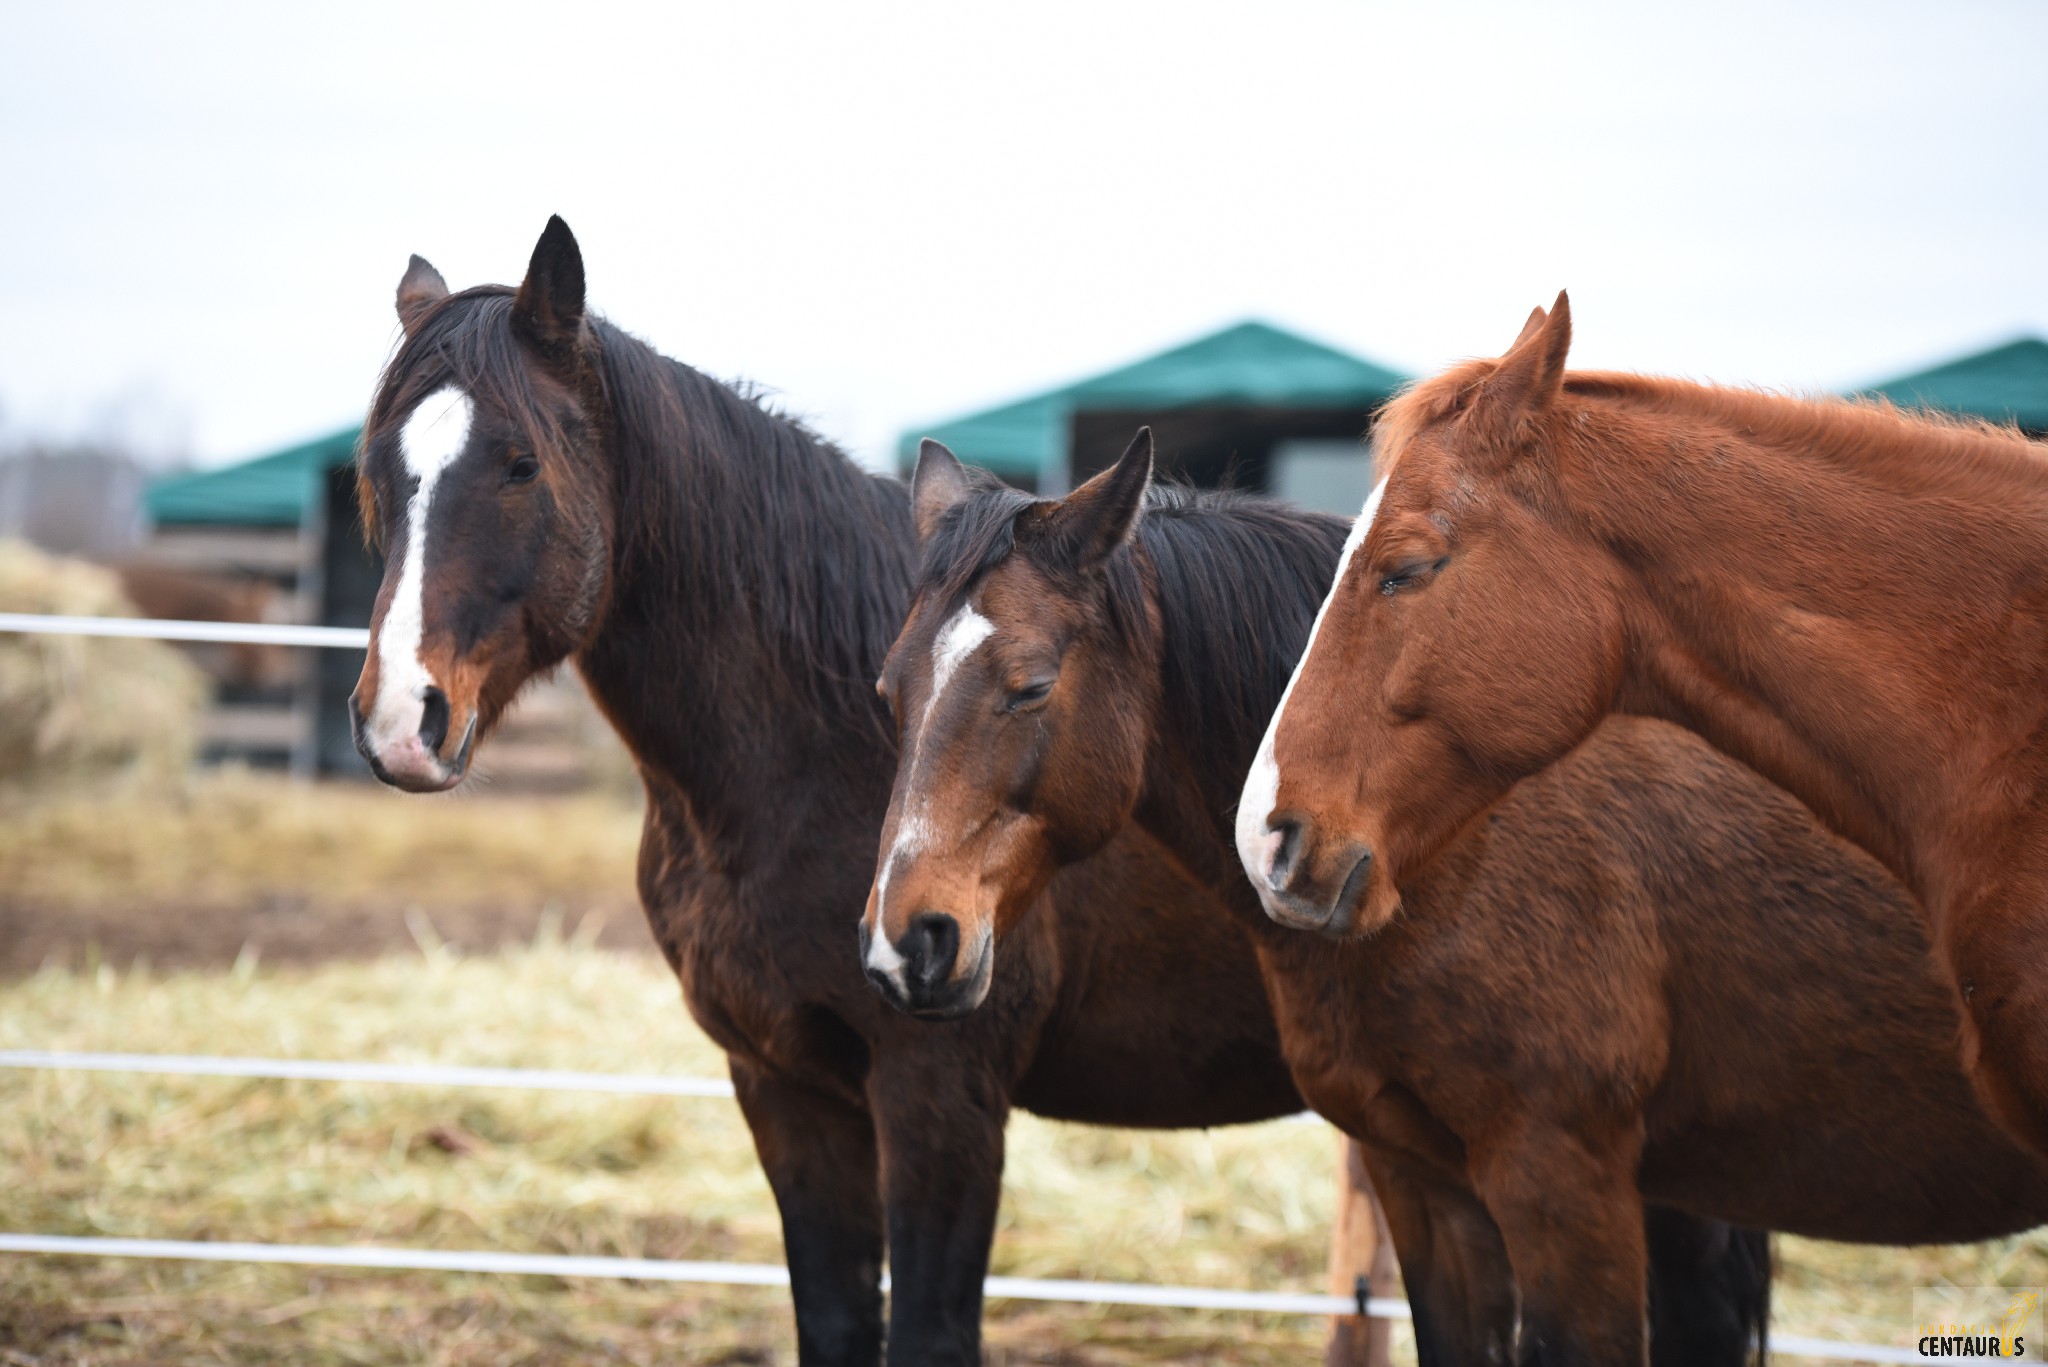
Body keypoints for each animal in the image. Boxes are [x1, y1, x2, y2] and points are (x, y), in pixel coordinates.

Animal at [348, 216, 1392, 1367]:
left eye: (520, 463)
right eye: (380, 471)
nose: (401, 718)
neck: (815, 756)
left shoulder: (939, 1097)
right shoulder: (786, 1088)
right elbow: (837, 1318)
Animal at [872, 432, 2048, 1367]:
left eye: (1030, 684)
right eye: (889, 689)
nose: (908, 942)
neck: (1438, 837)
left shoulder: (1565, 1183)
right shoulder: (1422, 1184)